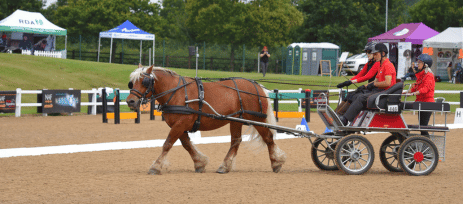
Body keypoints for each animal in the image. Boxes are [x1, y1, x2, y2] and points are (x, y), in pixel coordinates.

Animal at [127, 65, 286, 175]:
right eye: (132, 83)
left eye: (144, 81)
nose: (130, 101)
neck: (176, 92)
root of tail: (257, 86)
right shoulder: (179, 125)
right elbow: (187, 145)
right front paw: (199, 163)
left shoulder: (181, 124)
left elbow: (167, 144)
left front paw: (155, 167)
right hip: (236, 120)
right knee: (236, 141)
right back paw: (224, 166)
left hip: (256, 118)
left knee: (268, 138)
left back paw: (276, 163)